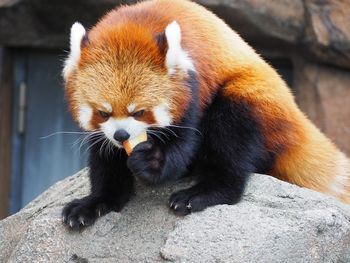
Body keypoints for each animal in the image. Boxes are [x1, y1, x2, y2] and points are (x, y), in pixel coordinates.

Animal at [61, 0, 348, 231]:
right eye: (103, 112)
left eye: (140, 112)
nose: (122, 135)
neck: (133, 24)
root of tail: (295, 118)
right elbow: (105, 160)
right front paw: (94, 203)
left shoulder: (194, 85)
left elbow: (182, 145)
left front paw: (152, 163)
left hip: (252, 99)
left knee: (230, 137)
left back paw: (203, 193)